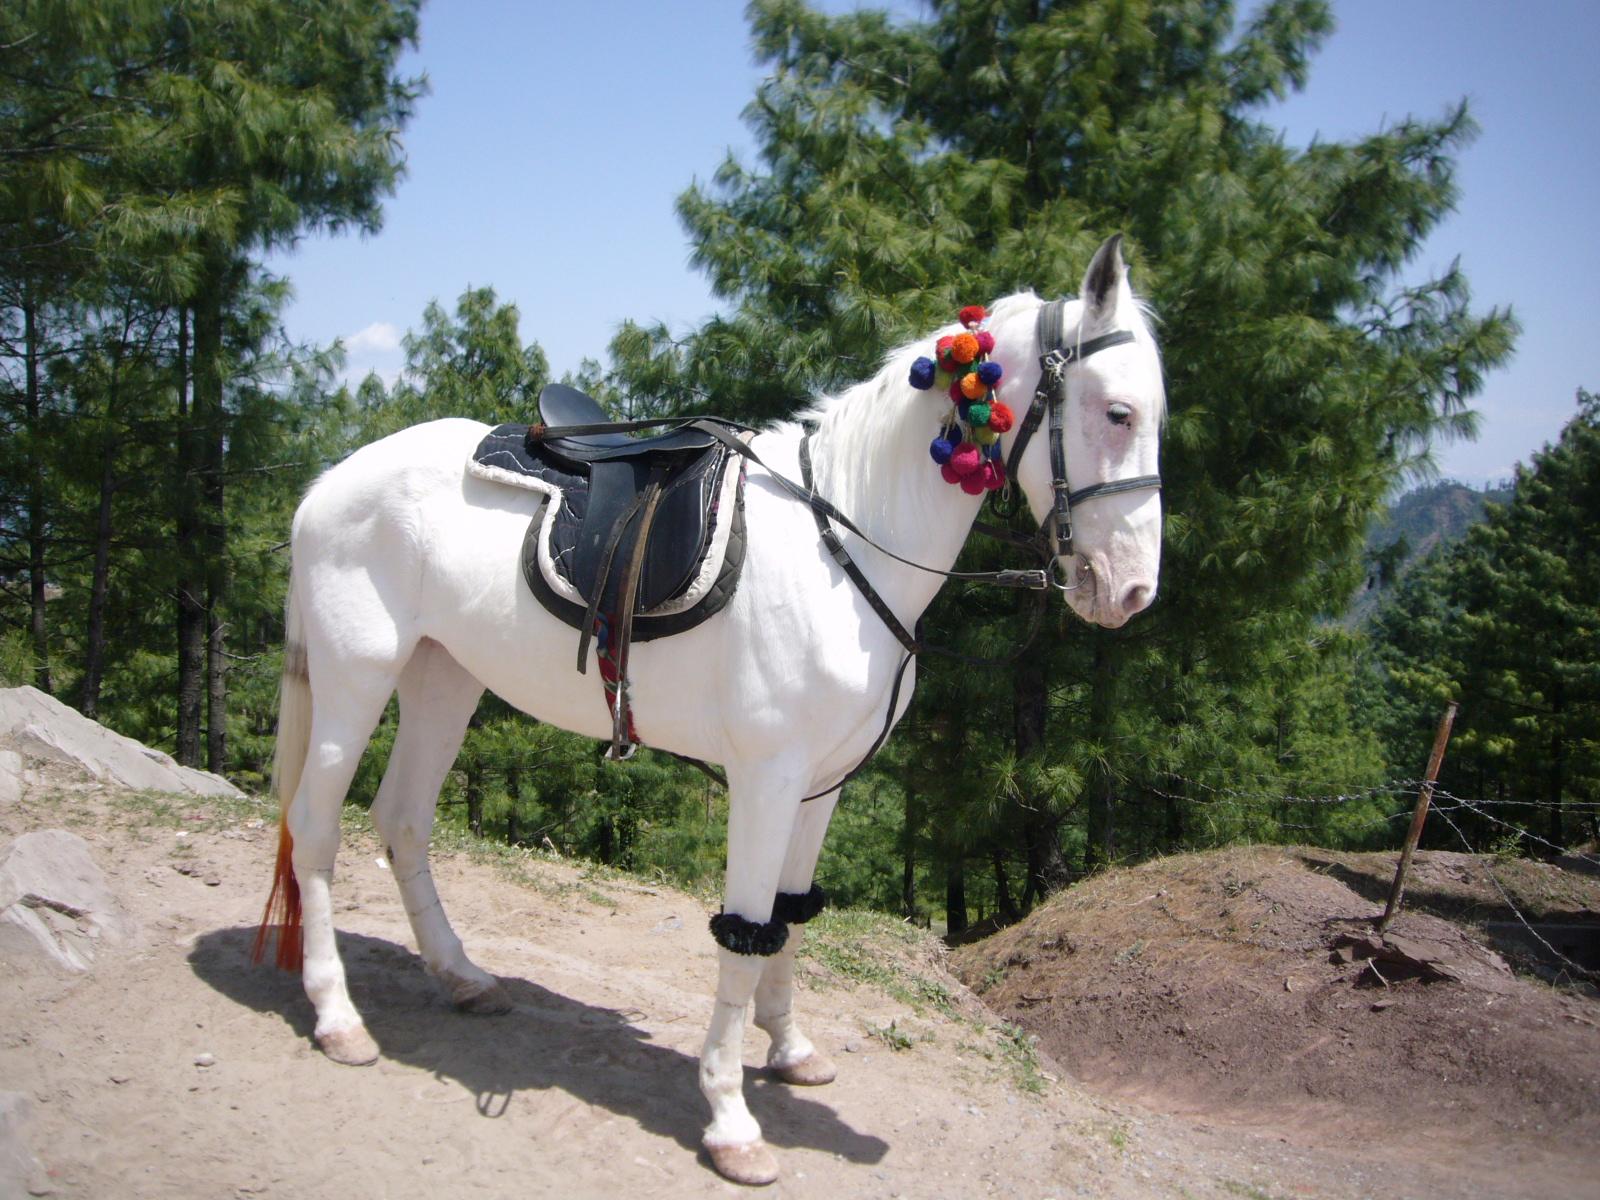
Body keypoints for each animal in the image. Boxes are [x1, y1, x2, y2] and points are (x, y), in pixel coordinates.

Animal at [252, 234, 1165, 1186]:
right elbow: (744, 932)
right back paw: (338, 1017)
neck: (841, 543)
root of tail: (332, 480)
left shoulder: (824, 784)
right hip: (357, 677)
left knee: (402, 821)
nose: (1132, 590)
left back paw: (461, 975)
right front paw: (730, 1119)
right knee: (316, 827)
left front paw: (790, 1052)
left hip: (444, 678)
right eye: (1119, 412)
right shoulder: (766, 780)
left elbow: (789, 922)